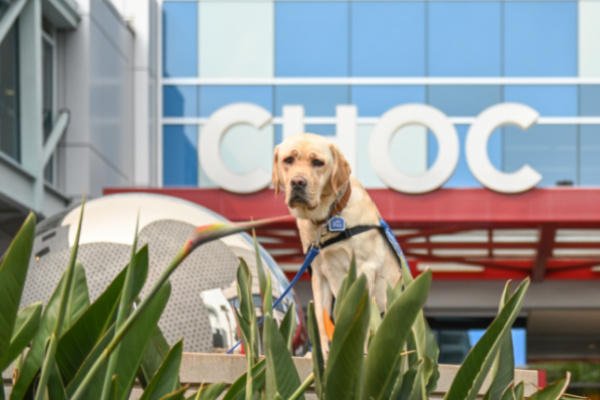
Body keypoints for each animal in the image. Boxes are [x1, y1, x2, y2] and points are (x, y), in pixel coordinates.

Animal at [274, 133, 400, 352]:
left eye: (318, 162)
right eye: (288, 160)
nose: (298, 182)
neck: (327, 219)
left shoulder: (364, 268)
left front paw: (360, 352)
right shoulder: (319, 274)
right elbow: (320, 317)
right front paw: (323, 353)